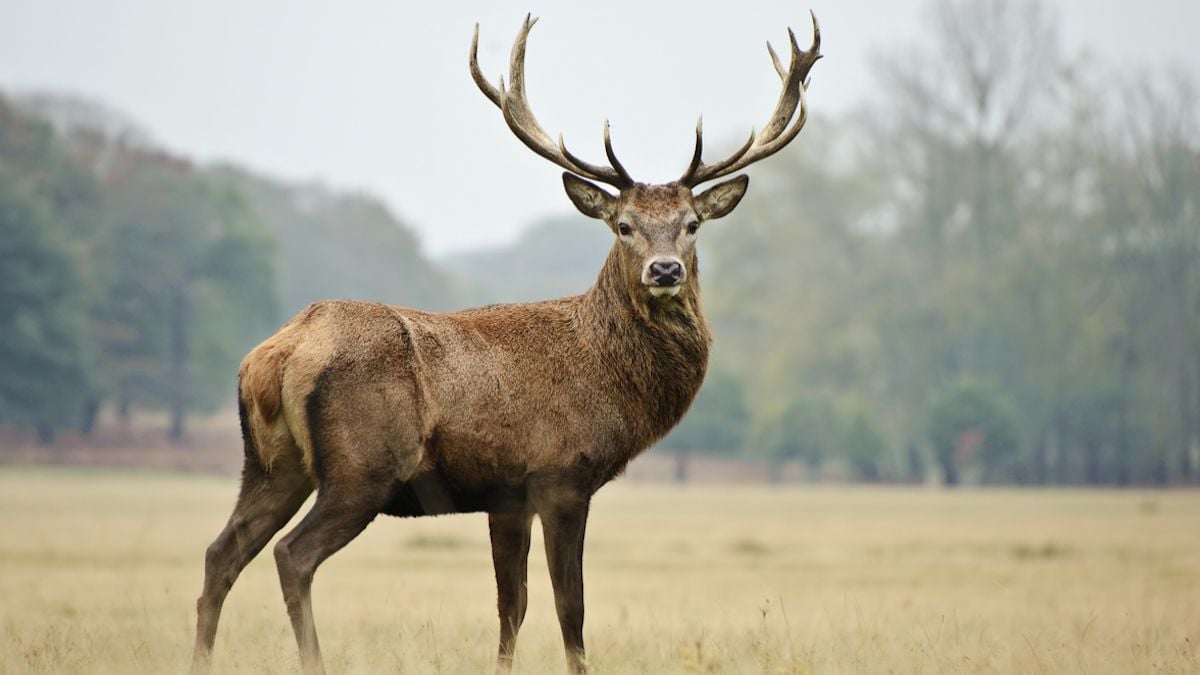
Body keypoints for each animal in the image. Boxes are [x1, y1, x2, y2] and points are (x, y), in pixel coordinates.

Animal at [189, 10, 825, 672]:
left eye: (692, 224)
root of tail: (277, 353)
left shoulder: (506, 495)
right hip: (361, 467)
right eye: (623, 226)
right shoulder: (561, 475)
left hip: (271, 464)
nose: (666, 269)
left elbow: (510, 608)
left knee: (220, 553)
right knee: (292, 555)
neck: (610, 381)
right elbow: (570, 609)